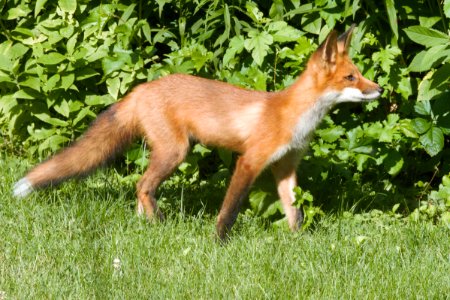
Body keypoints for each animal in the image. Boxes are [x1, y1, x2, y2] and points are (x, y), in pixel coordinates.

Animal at [13, 26, 380, 241]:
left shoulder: (285, 167)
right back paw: (159, 223)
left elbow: (294, 211)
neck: (294, 115)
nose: (379, 89)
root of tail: (141, 88)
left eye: (360, 74)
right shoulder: (250, 161)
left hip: (169, 152)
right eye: (351, 77)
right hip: (176, 152)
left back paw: (144, 226)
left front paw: (299, 241)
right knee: (142, 186)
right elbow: (229, 210)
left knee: (140, 189)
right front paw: (219, 241)